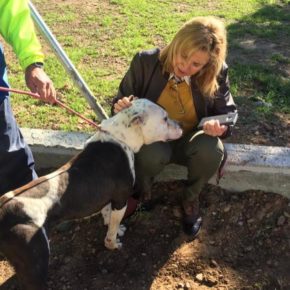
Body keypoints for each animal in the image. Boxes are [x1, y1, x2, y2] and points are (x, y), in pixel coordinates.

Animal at [0, 99, 181, 290]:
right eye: (165, 118)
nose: (181, 124)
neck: (119, 137)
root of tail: (3, 212)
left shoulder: (108, 198)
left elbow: (108, 216)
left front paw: (115, 227)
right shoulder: (121, 199)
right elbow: (111, 231)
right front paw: (113, 244)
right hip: (35, 262)